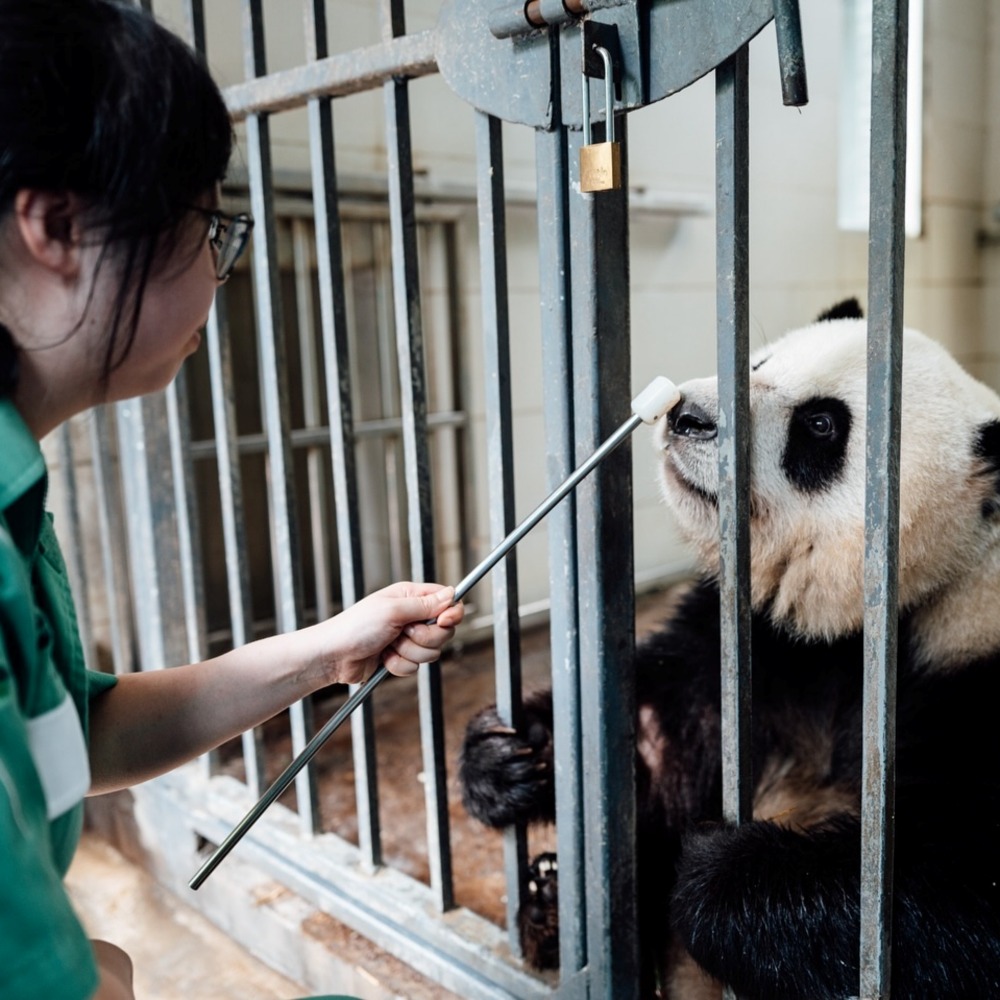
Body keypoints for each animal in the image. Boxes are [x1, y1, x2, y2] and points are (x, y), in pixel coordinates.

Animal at [458, 298, 1000, 1000]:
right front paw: (513, 755)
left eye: (820, 424)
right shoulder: (756, 649)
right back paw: (548, 907)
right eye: (756, 363)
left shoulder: (968, 677)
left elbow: (954, 896)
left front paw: (716, 872)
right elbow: (659, 735)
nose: (687, 416)